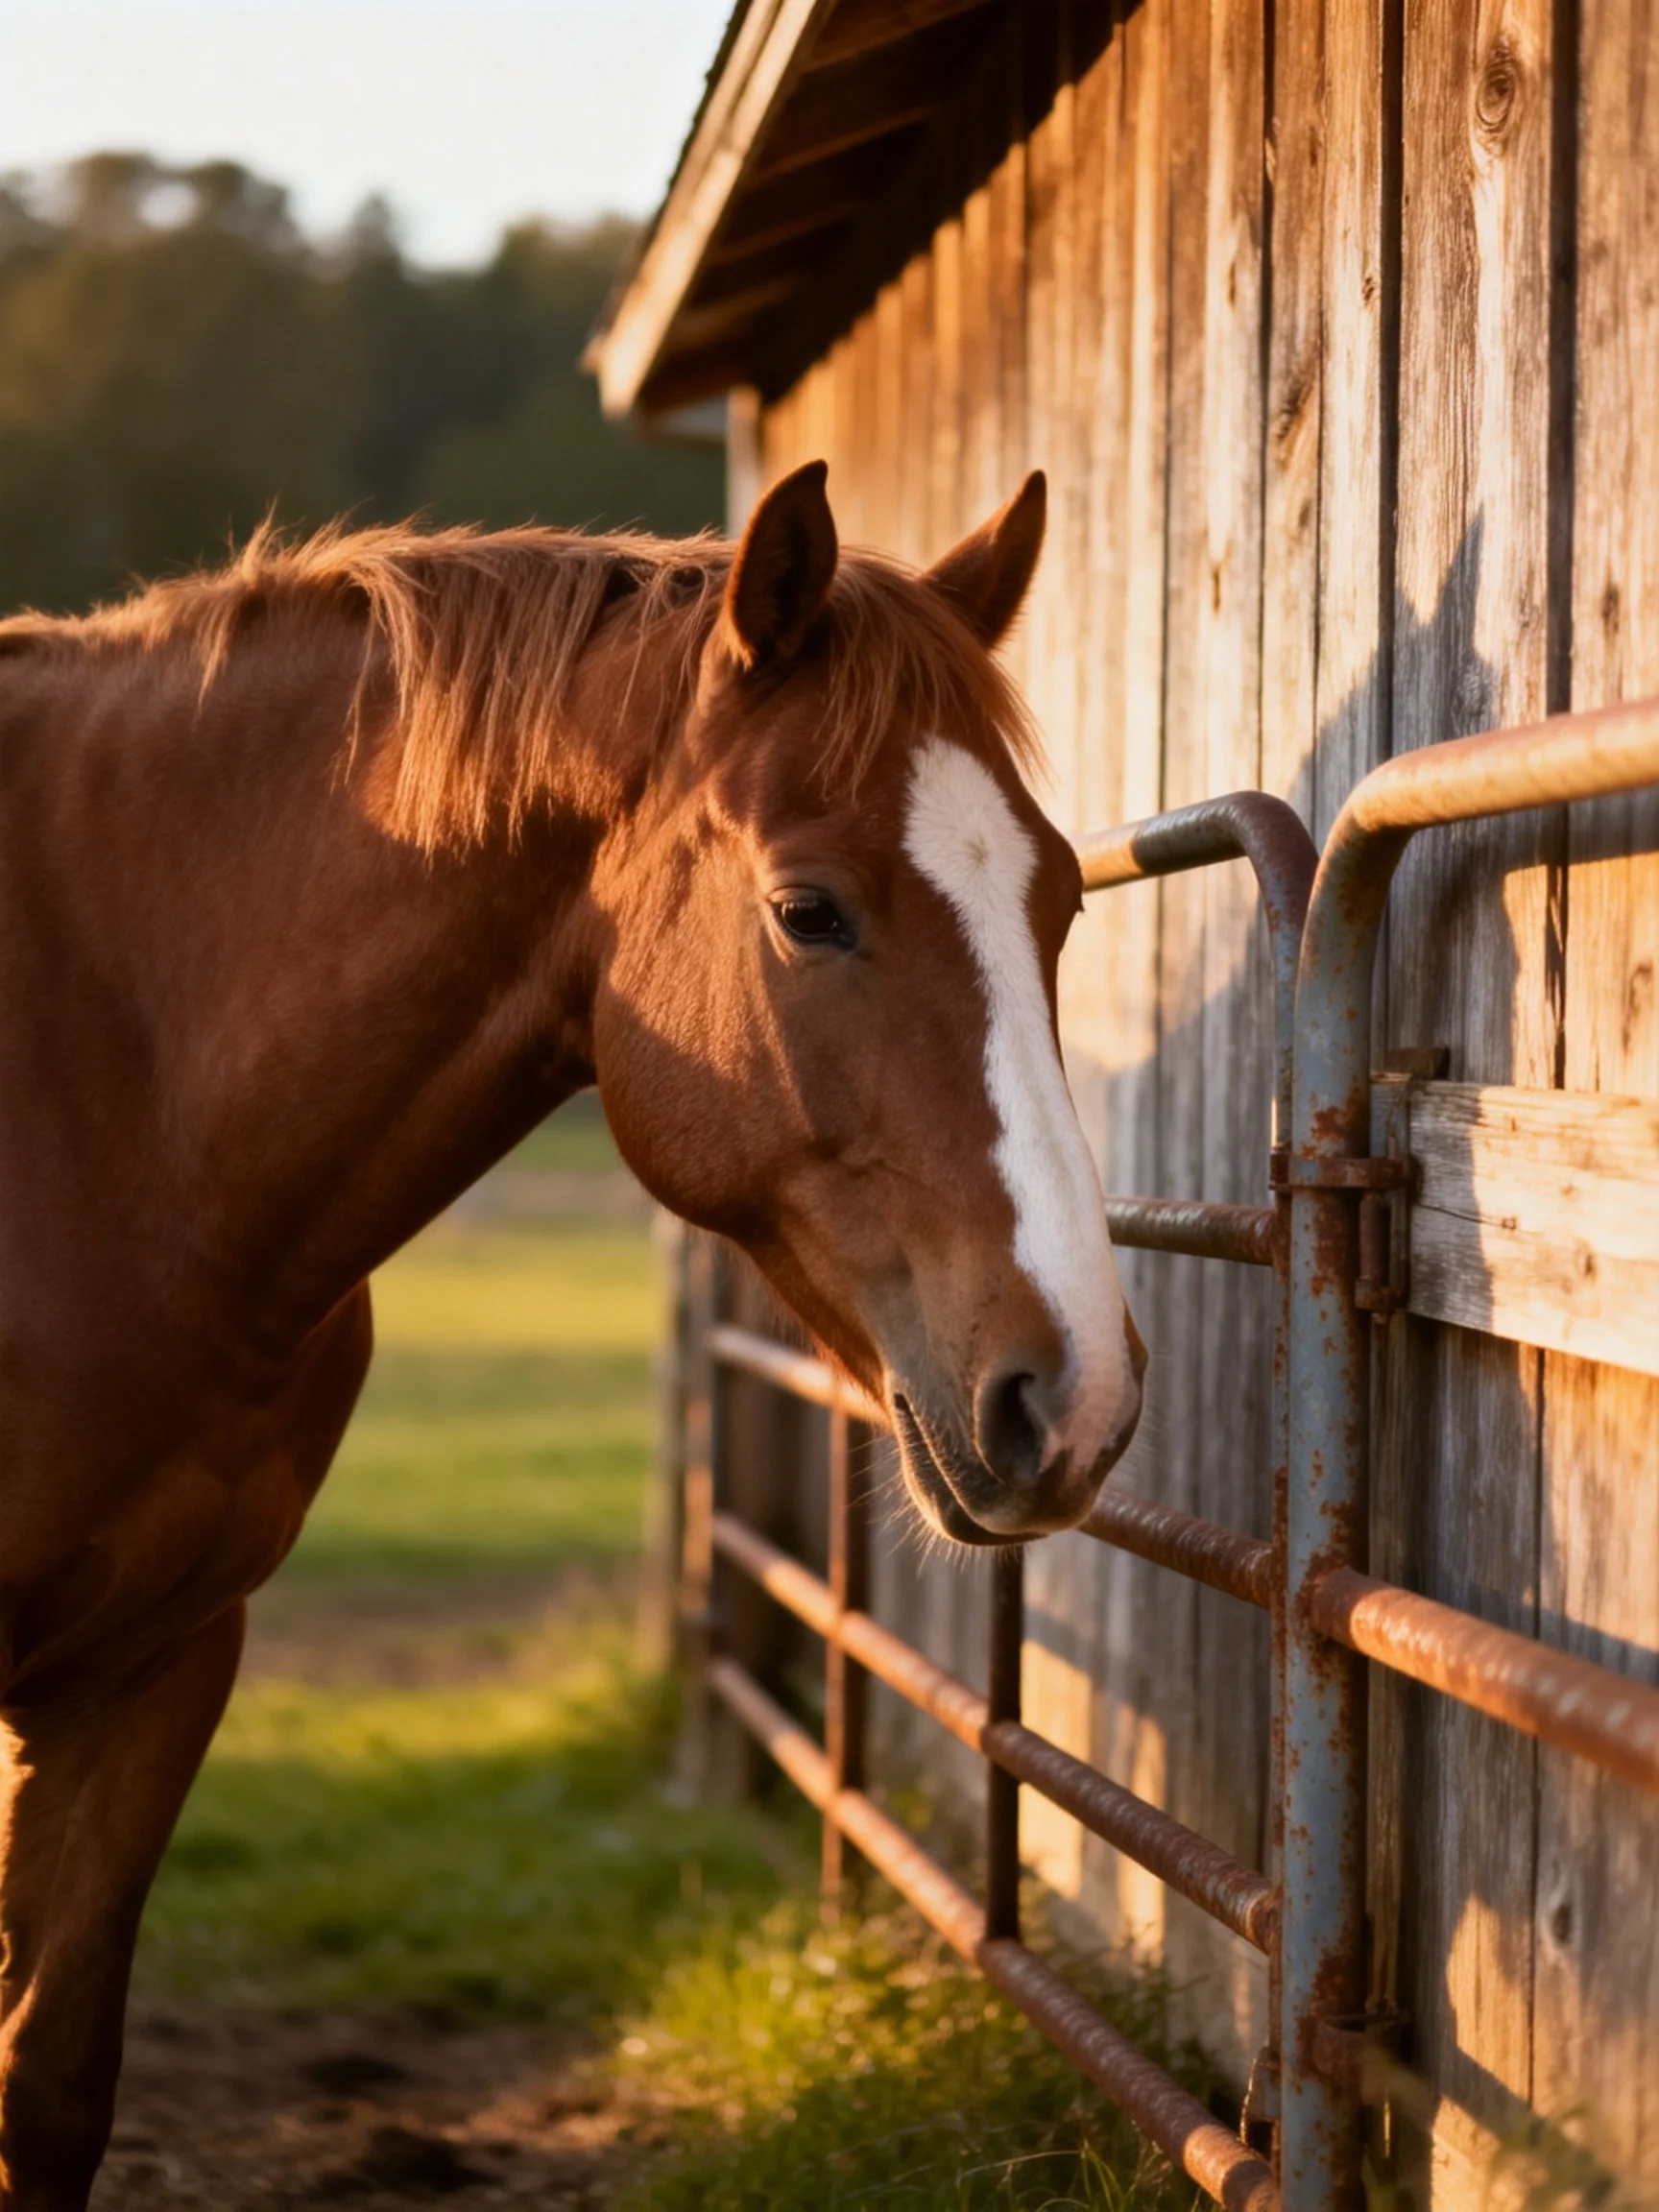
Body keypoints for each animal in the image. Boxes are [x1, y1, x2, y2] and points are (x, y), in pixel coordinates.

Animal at [0, 460, 1145, 2207]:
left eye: (1061, 899)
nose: (1071, 1395)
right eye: (808, 911)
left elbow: (48, 2081)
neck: (106, 1092)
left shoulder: (156, 1662)